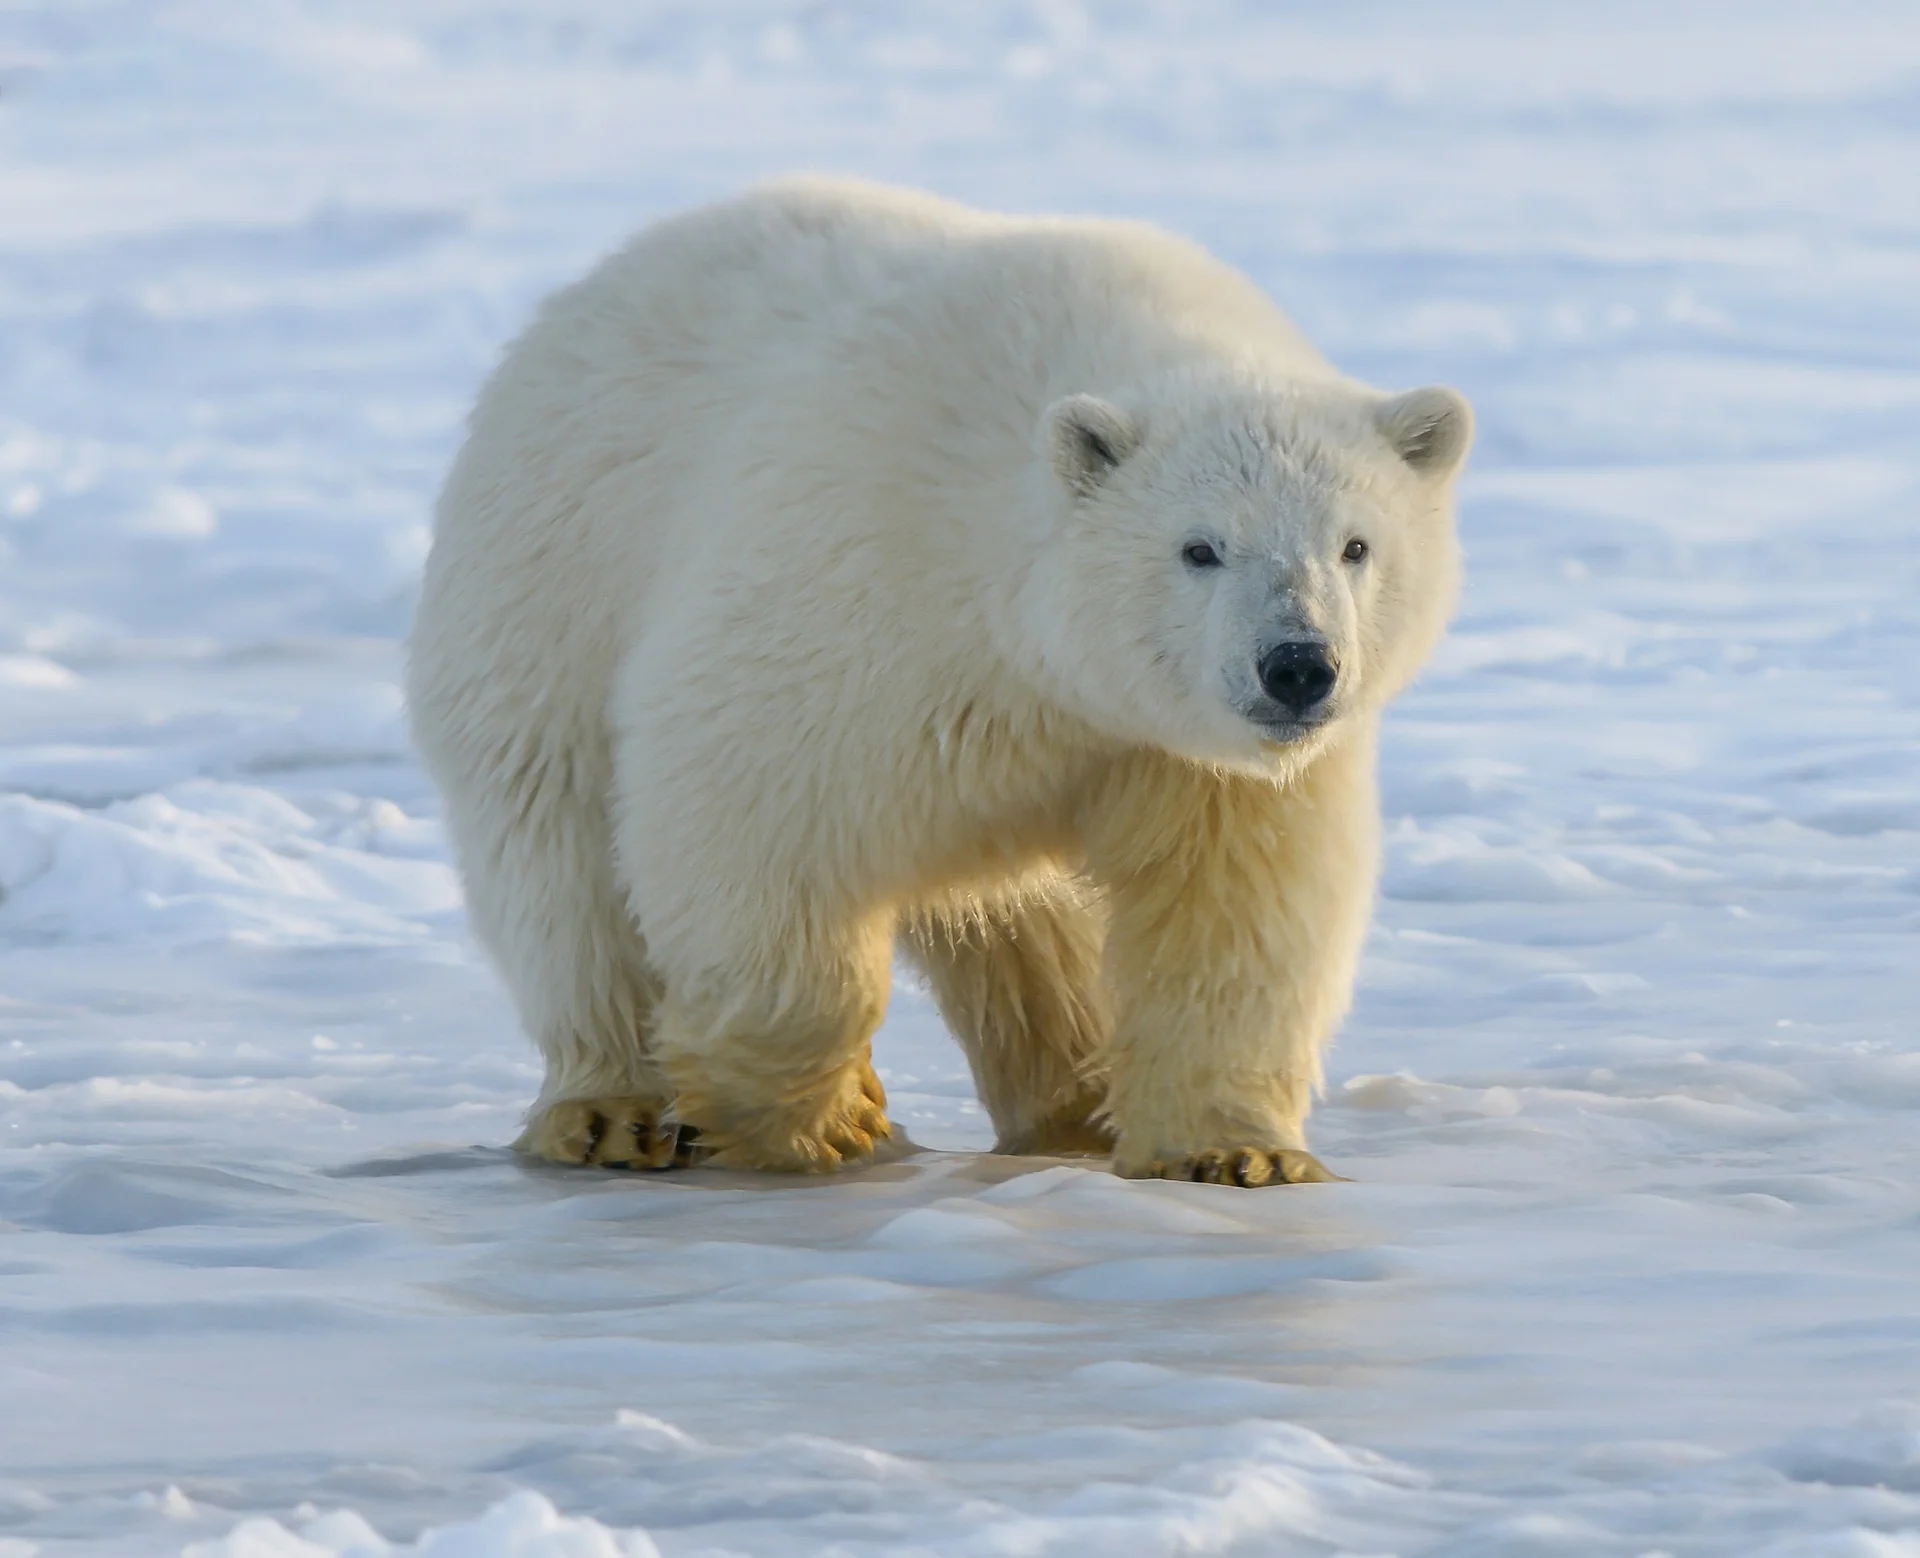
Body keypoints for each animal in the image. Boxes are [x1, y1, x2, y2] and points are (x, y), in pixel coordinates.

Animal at [407, 176, 1470, 1186]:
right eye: (1199, 547)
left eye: (1356, 545)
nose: (1298, 666)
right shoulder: (858, 588)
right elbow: (745, 808)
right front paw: (822, 1116)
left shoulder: (1181, 754)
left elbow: (1233, 911)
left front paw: (1236, 1154)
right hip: (549, 591)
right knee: (564, 865)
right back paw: (610, 1112)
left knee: (1029, 933)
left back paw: (1072, 1104)